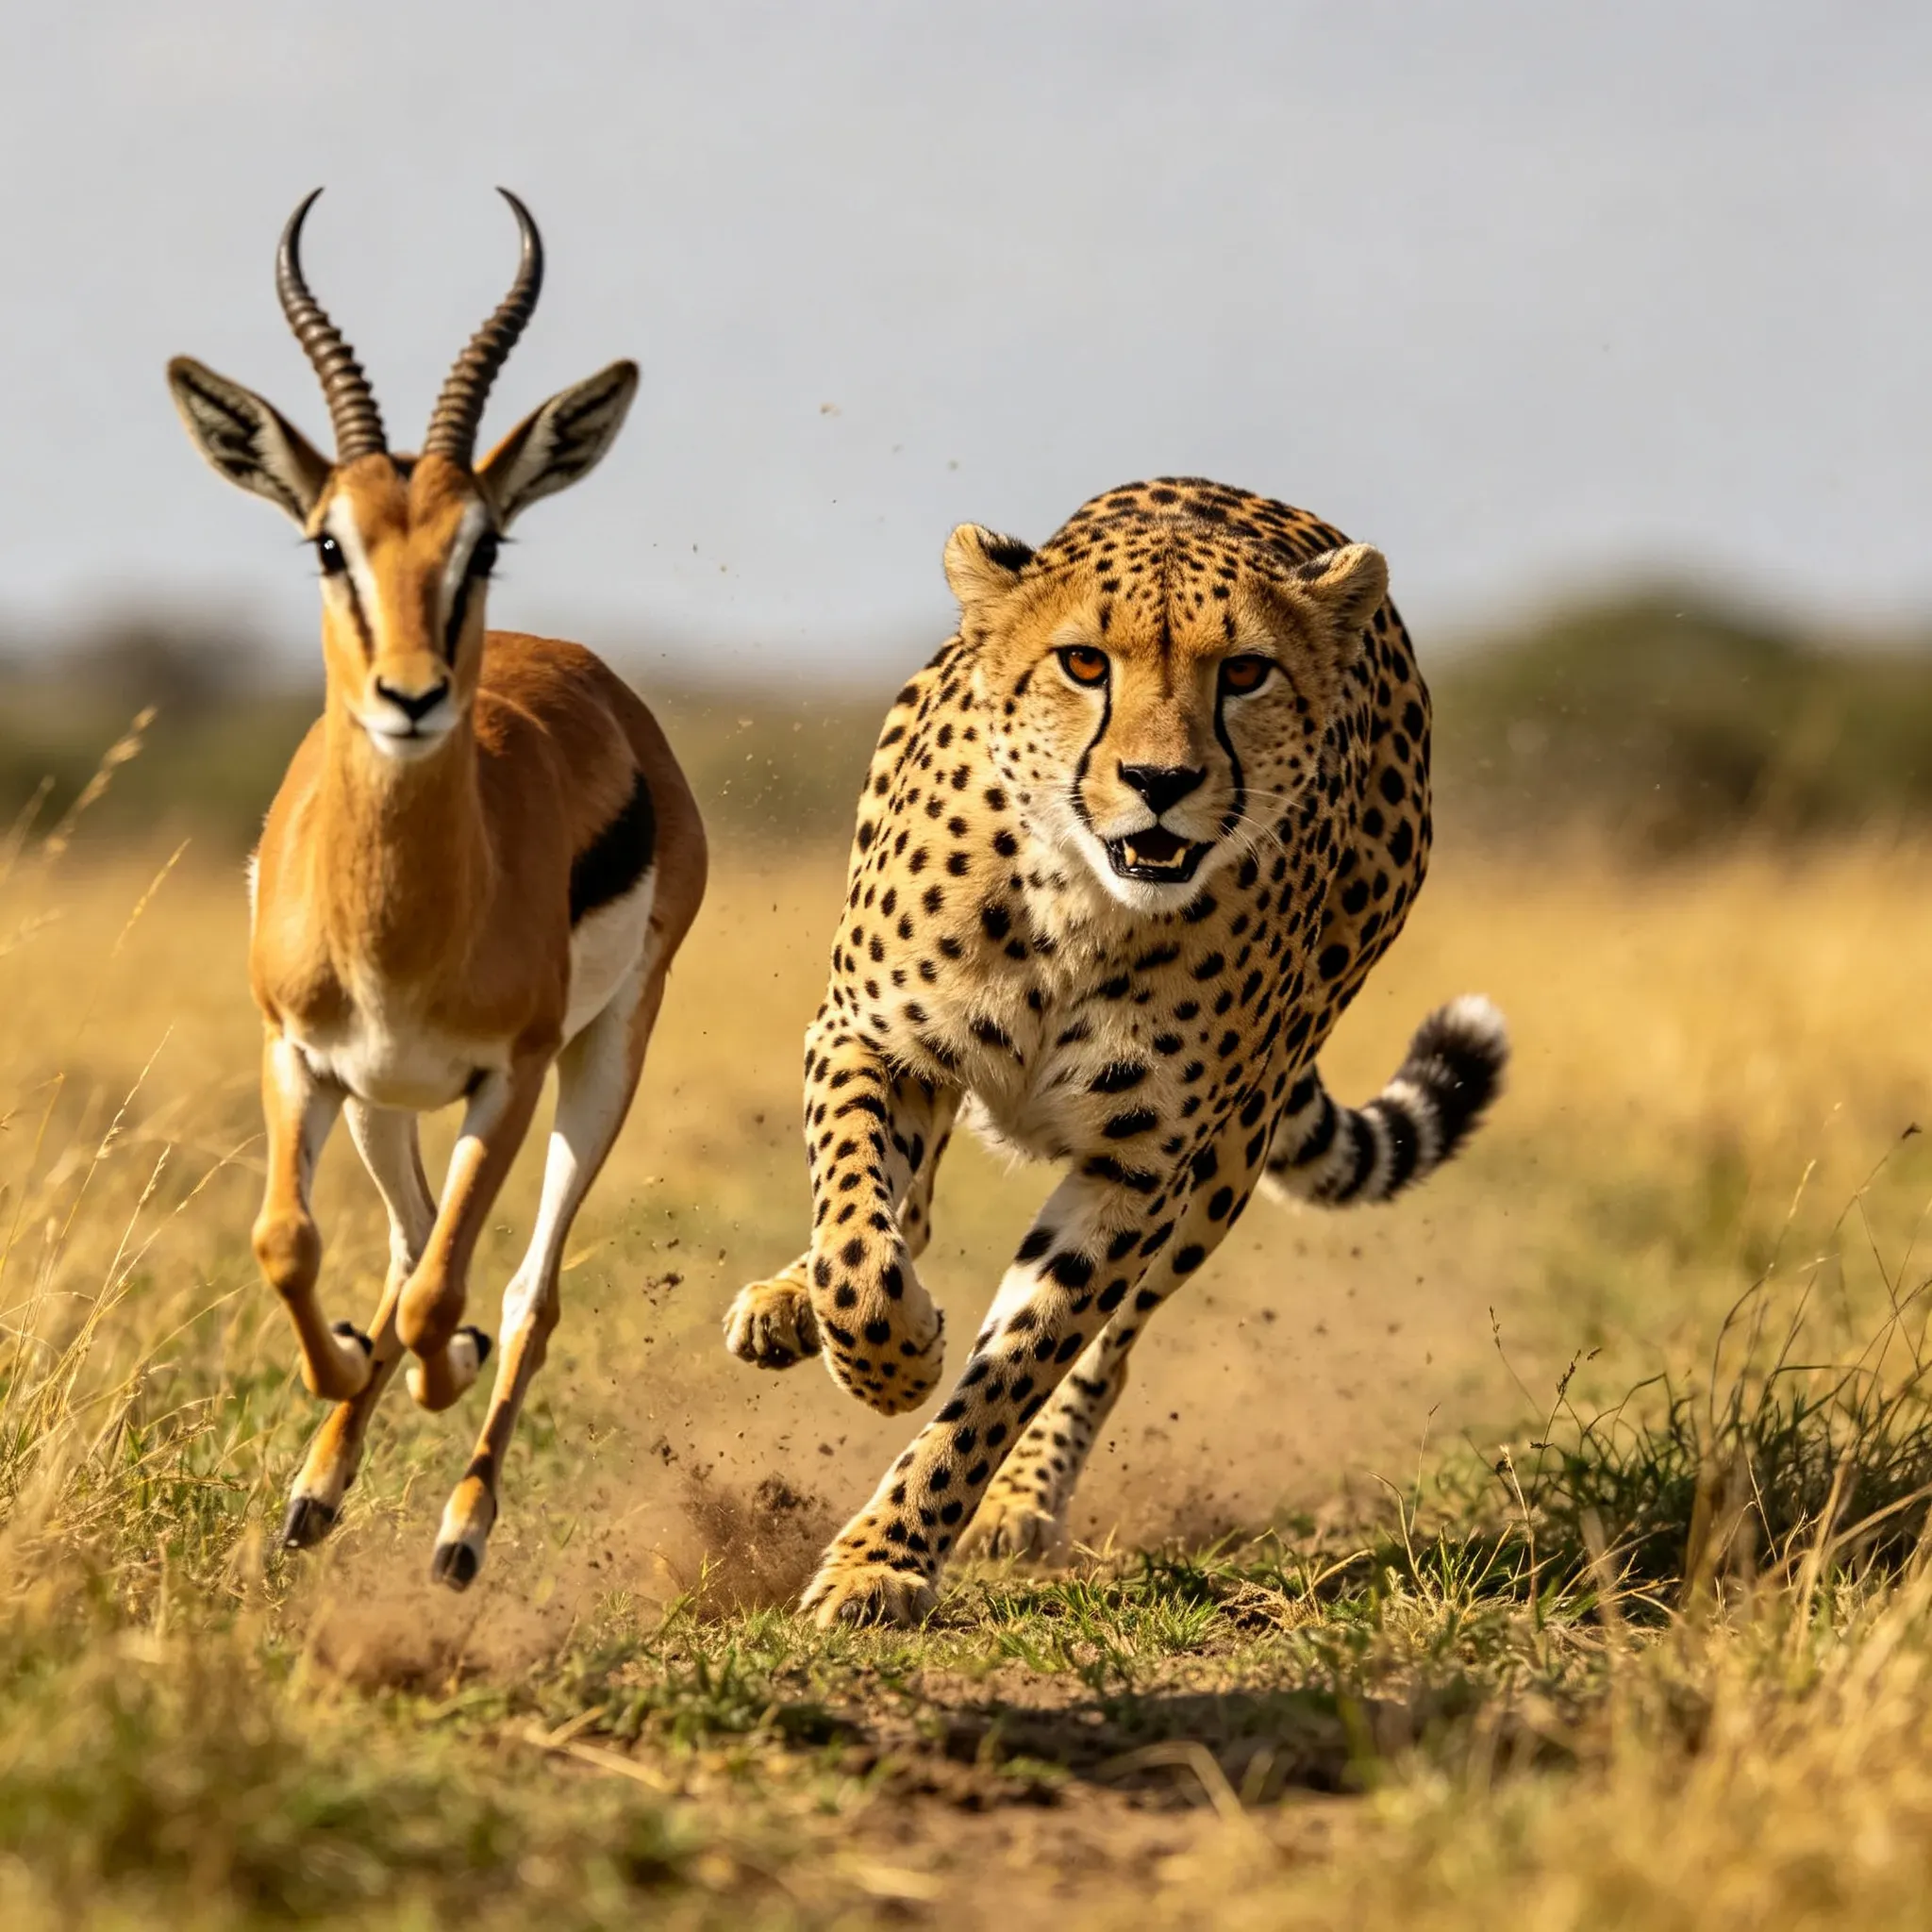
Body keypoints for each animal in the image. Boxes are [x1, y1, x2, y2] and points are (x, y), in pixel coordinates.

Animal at [724, 476, 1507, 1626]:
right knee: (895, 1210)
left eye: (1244, 672)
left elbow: (1020, 1364)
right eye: (1084, 663)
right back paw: (790, 1302)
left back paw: (1020, 1495)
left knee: (1111, 1345)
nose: (1158, 779)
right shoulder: (870, 1037)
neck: (1080, 903)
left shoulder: (1143, 1167)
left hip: (1229, 1155)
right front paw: (891, 1358)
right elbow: (860, 1246)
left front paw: (886, 1554)